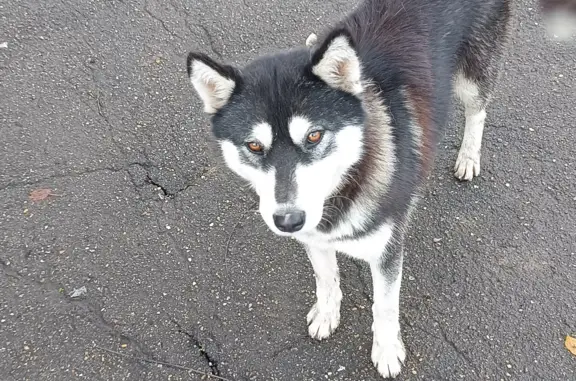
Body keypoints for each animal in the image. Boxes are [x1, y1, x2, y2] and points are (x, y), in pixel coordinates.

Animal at [184, 0, 508, 374]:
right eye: (253, 146)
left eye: (314, 135)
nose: (288, 221)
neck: (344, 182)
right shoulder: (314, 237)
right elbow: (326, 277)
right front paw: (327, 313)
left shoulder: (387, 249)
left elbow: (384, 306)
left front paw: (386, 349)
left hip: (473, 75)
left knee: (478, 111)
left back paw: (469, 156)